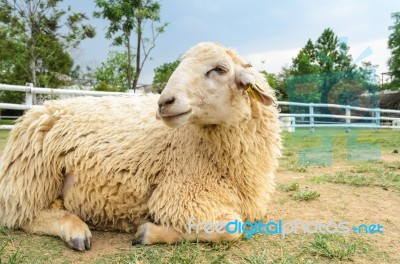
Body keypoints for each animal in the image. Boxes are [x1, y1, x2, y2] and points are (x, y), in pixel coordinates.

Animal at [0, 42, 282, 251]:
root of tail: (41, 108)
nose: (164, 102)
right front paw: (147, 231)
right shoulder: (181, 194)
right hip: (31, 177)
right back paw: (75, 231)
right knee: (21, 215)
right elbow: (232, 228)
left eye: (219, 69)